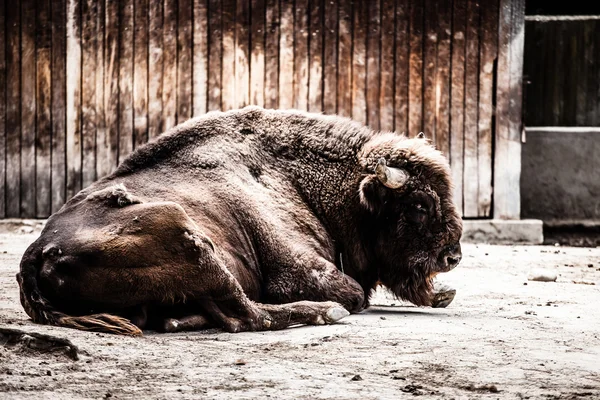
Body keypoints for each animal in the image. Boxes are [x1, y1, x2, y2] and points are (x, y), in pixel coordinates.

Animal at [16, 106, 462, 334]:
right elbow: (352, 293)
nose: (453, 256)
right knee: (247, 314)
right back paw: (326, 312)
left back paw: (176, 318)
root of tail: (36, 253)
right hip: (187, 234)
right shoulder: (298, 270)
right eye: (419, 205)